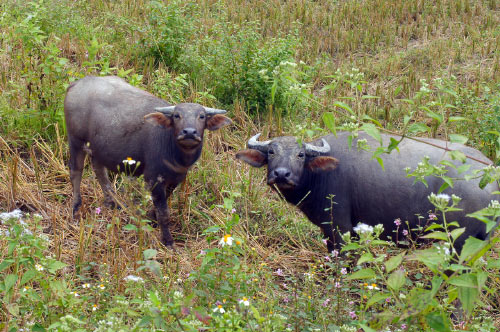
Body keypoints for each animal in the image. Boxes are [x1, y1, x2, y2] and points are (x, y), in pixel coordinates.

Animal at [64, 75, 232, 246]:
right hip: (75, 140)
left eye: (202, 116)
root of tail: (77, 84)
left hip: (98, 148)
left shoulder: (174, 180)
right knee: (76, 171)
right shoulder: (154, 179)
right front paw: (167, 240)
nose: (189, 132)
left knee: (99, 170)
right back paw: (76, 208)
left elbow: (163, 203)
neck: (175, 154)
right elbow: (164, 212)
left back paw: (113, 203)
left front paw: (151, 218)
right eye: (177, 115)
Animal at [235, 131, 500, 253]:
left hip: (460, 243)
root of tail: (490, 175)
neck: (320, 175)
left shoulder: (339, 228)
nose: (281, 174)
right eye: (271, 152)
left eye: (300, 154)